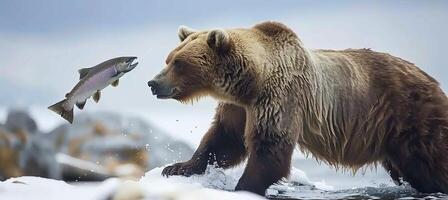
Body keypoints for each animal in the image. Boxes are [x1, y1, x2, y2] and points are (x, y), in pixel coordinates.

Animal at [147, 21, 448, 195]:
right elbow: (224, 139)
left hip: (409, 114)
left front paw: (244, 186)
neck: (251, 81)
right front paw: (177, 167)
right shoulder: (239, 107)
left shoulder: (280, 97)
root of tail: (432, 81)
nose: (153, 83)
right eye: (169, 58)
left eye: (179, 63)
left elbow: (270, 147)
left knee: (428, 162)